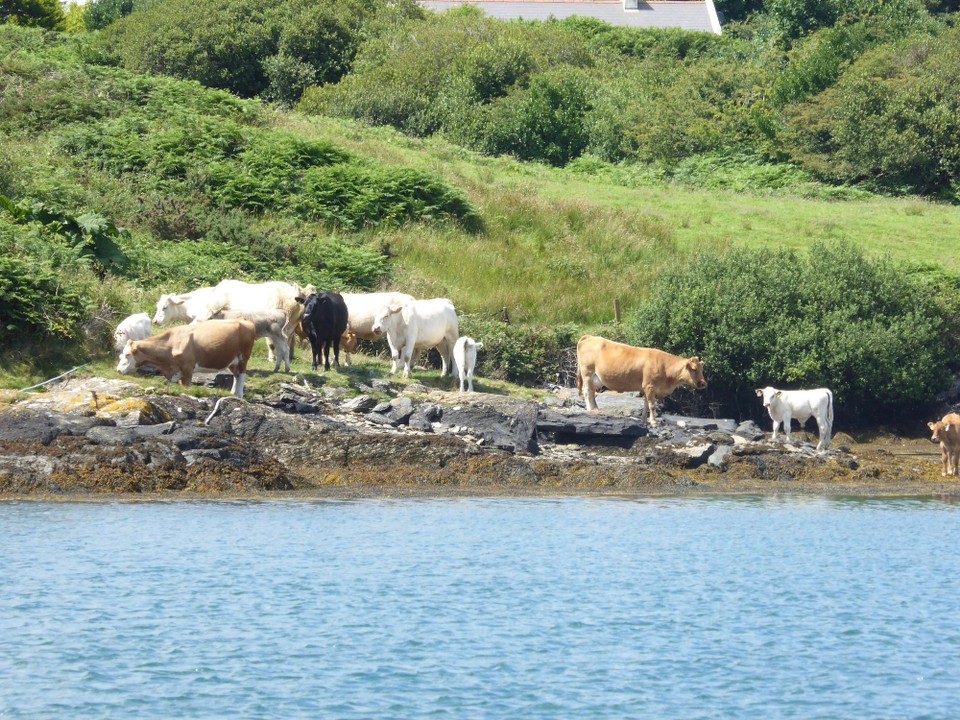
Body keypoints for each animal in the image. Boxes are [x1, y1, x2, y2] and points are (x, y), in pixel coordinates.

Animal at [115, 320, 256, 400]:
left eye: (127, 354)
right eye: (121, 355)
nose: (118, 369)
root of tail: (246, 322)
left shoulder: (188, 368)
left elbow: (187, 387)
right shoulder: (179, 370)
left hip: (244, 357)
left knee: (242, 375)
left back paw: (240, 395)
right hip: (232, 360)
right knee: (236, 375)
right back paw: (233, 394)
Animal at [572, 334, 708, 424]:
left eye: (702, 369)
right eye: (694, 369)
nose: (703, 383)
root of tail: (590, 337)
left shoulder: (646, 388)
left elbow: (646, 405)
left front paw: (644, 420)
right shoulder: (650, 386)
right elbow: (652, 405)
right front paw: (654, 422)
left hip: (595, 378)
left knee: (592, 392)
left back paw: (596, 409)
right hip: (587, 373)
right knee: (586, 391)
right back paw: (590, 409)